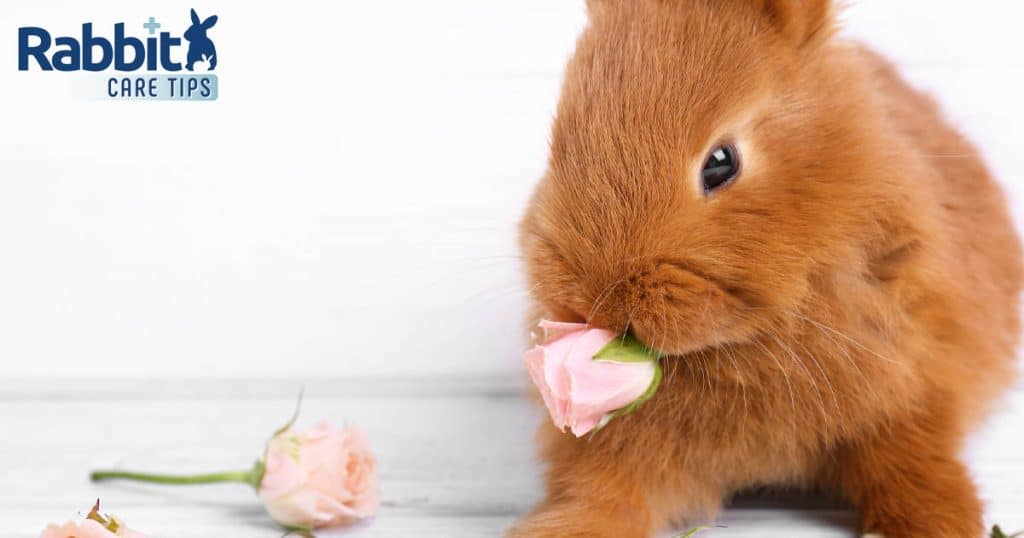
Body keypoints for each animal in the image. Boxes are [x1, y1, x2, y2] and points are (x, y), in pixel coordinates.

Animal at [510, 1, 1022, 537]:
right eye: (558, 145)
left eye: (720, 163)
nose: (595, 299)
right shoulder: (619, 452)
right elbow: (599, 490)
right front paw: (565, 528)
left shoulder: (913, 380)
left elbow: (912, 457)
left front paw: (937, 523)